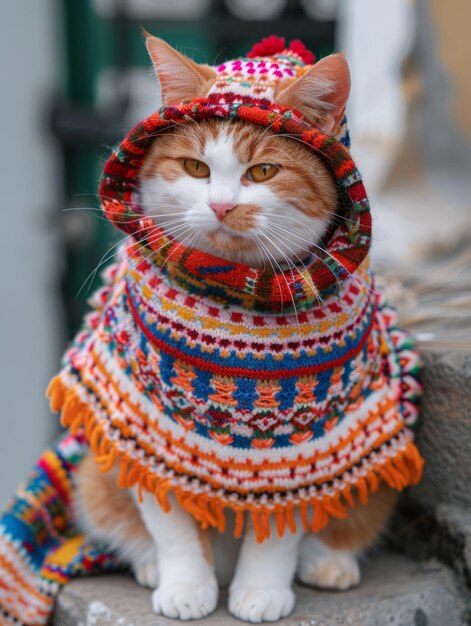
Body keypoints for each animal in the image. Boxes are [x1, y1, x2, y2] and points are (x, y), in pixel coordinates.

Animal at [74, 36, 398, 620]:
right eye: (194, 167)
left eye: (264, 172)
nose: (222, 206)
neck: (235, 294)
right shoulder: (144, 419)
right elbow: (169, 518)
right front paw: (184, 584)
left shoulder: (303, 440)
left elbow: (284, 521)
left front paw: (262, 589)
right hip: (92, 473)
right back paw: (150, 564)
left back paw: (327, 562)